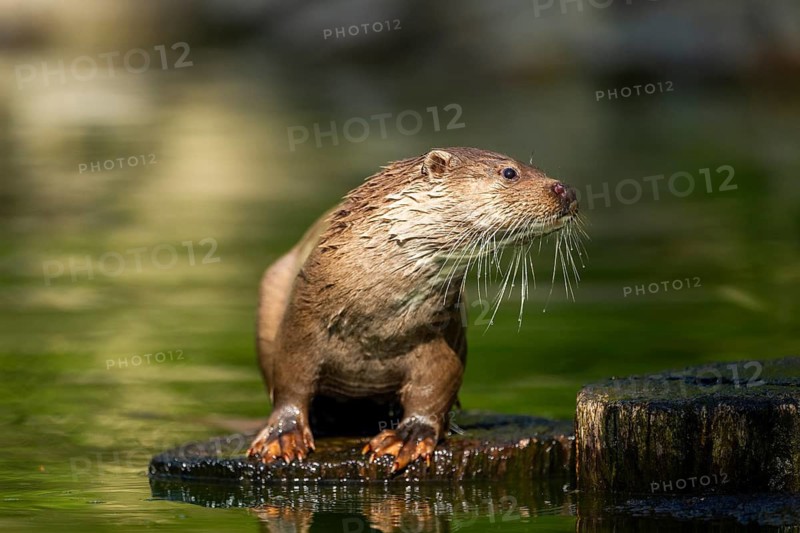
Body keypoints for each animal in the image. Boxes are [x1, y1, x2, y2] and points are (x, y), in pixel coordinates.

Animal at [247, 147, 581, 472]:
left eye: (538, 169)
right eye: (510, 172)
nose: (566, 190)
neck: (373, 330)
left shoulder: (438, 339)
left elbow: (435, 385)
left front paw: (407, 437)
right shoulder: (301, 322)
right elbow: (291, 379)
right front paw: (283, 435)